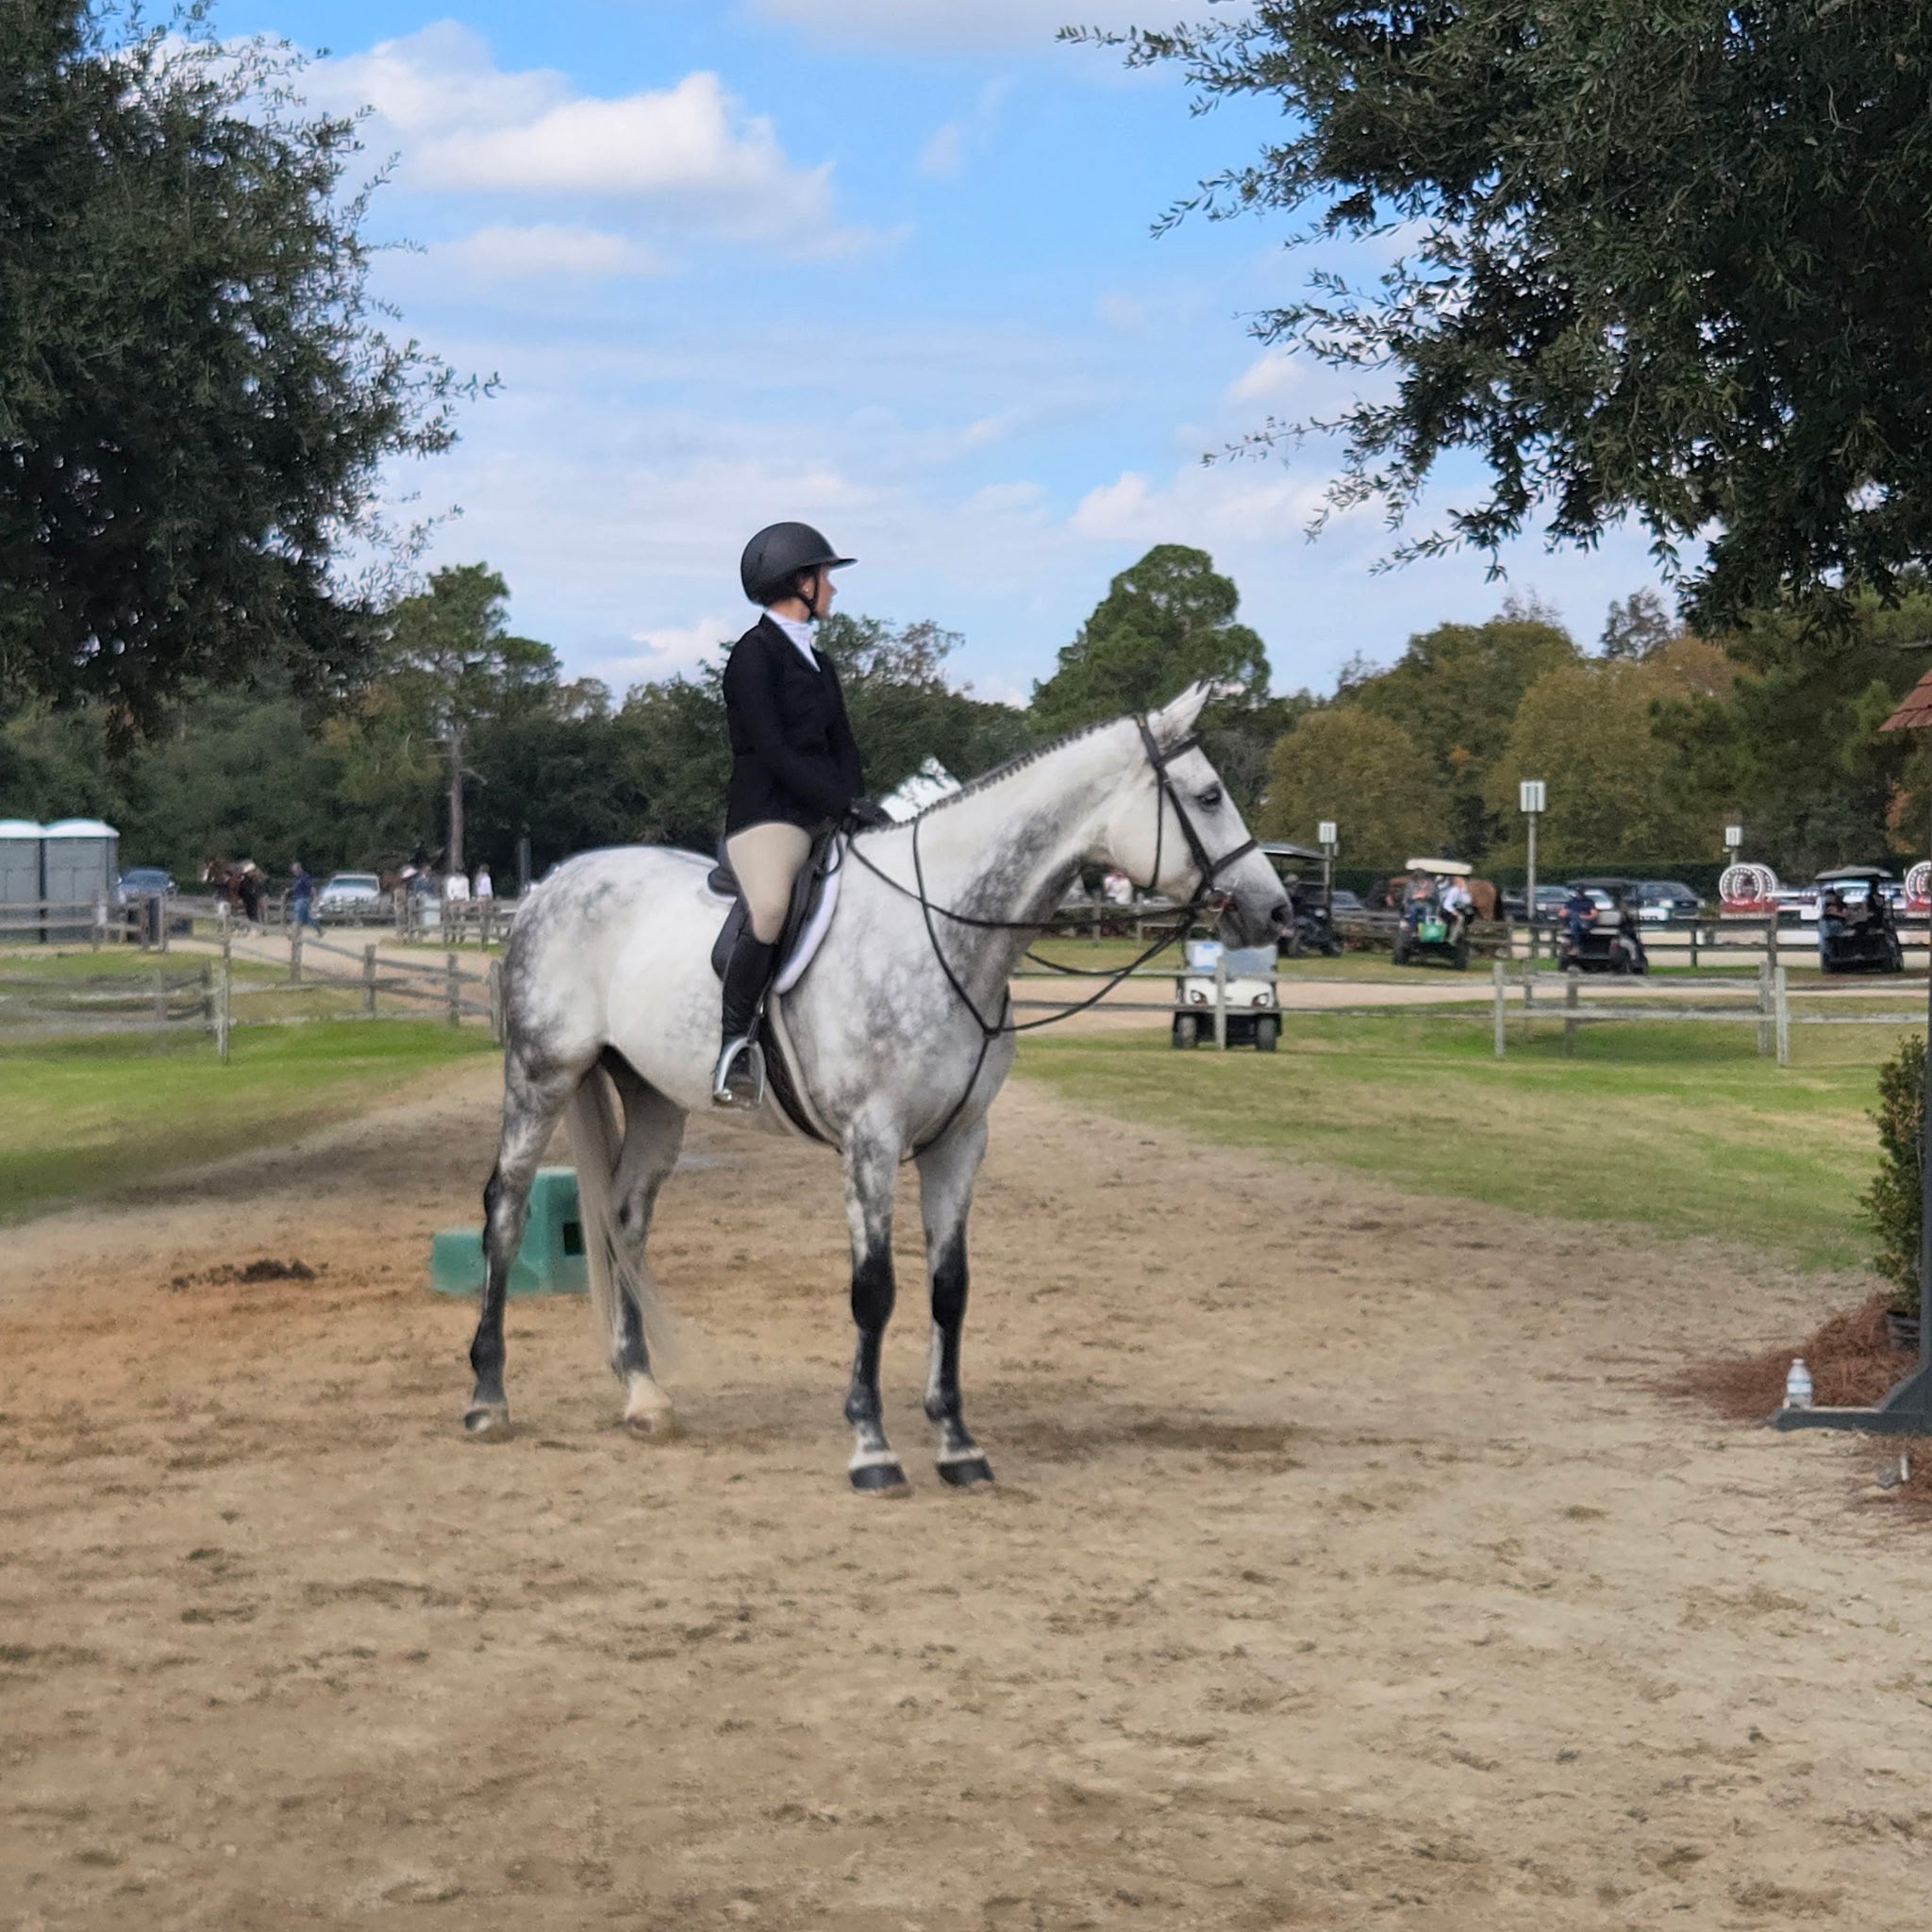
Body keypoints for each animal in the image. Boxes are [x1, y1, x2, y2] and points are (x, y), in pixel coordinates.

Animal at [466, 682, 1289, 1492]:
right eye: (1209, 795)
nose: (1277, 911)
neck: (942, 932)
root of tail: (549, 884)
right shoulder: (872, 1137)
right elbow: (874, 1288)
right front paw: (872, 1448)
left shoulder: (960, 1139)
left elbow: (949, 1288)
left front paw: (957, 1444)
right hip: (542, 1075)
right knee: (505, 1209)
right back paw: (487, 1398)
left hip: (653, 1096)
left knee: (625, 1222)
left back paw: (642, 1394)